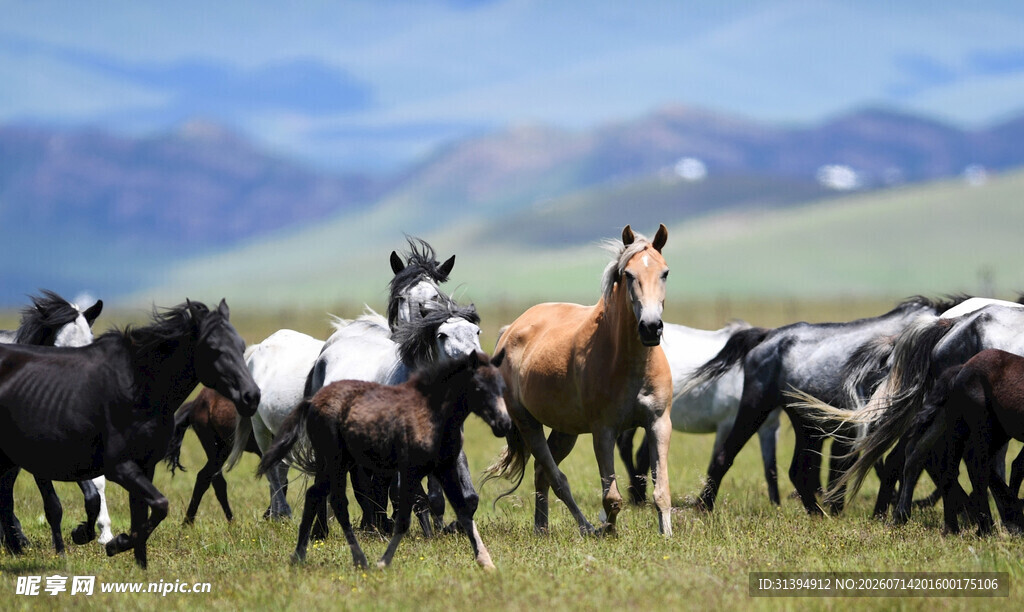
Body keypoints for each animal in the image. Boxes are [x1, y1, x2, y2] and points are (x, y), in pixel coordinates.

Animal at [227, 237, 458, 521]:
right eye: (402, 297)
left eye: (436, 295)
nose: (423, 328)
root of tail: (260, 347)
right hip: (261, 428)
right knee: (273, 471)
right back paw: (284, 514)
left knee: (281, 469)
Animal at [256, 350, 509, 570]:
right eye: (478, 387)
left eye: (502, 387)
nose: (503, 424)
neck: (431, 414)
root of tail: (312, 402)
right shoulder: (409, 471)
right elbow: (404, 518)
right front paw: (383, 562)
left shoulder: (445, 468)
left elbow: (464, 510)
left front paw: (486, 563)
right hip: (335, 462)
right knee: (336, 503)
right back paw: (357, 559)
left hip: (335, 464)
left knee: (316, 497)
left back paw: (301, 556)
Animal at [485, 224, 674, 536]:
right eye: (628, 274)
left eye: (665, 272)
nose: (650, 327)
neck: (630, 364)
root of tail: (511, 329)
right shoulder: (603, 431)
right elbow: (611, 498)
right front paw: (608, 532)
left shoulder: (658, 423)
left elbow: (662, 491)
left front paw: (666, 535)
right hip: (528, 423)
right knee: (556, 477)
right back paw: (586, 528)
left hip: (566, 431)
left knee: (541, 473)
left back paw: (542, 528)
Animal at [616, 320, 782, 506]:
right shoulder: (727, 424)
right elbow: (718, 461)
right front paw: (704, 502)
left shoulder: (769, 428)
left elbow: (771, 469)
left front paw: (776, 505)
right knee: (626, 447)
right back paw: (637, 496)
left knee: (642, 454)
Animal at [691, 295, 966, 515]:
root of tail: (769, 336)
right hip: (756, 407)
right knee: (725, 456)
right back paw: (705, 507)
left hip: (807, 425)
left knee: (798, 471)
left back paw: (818, 513)